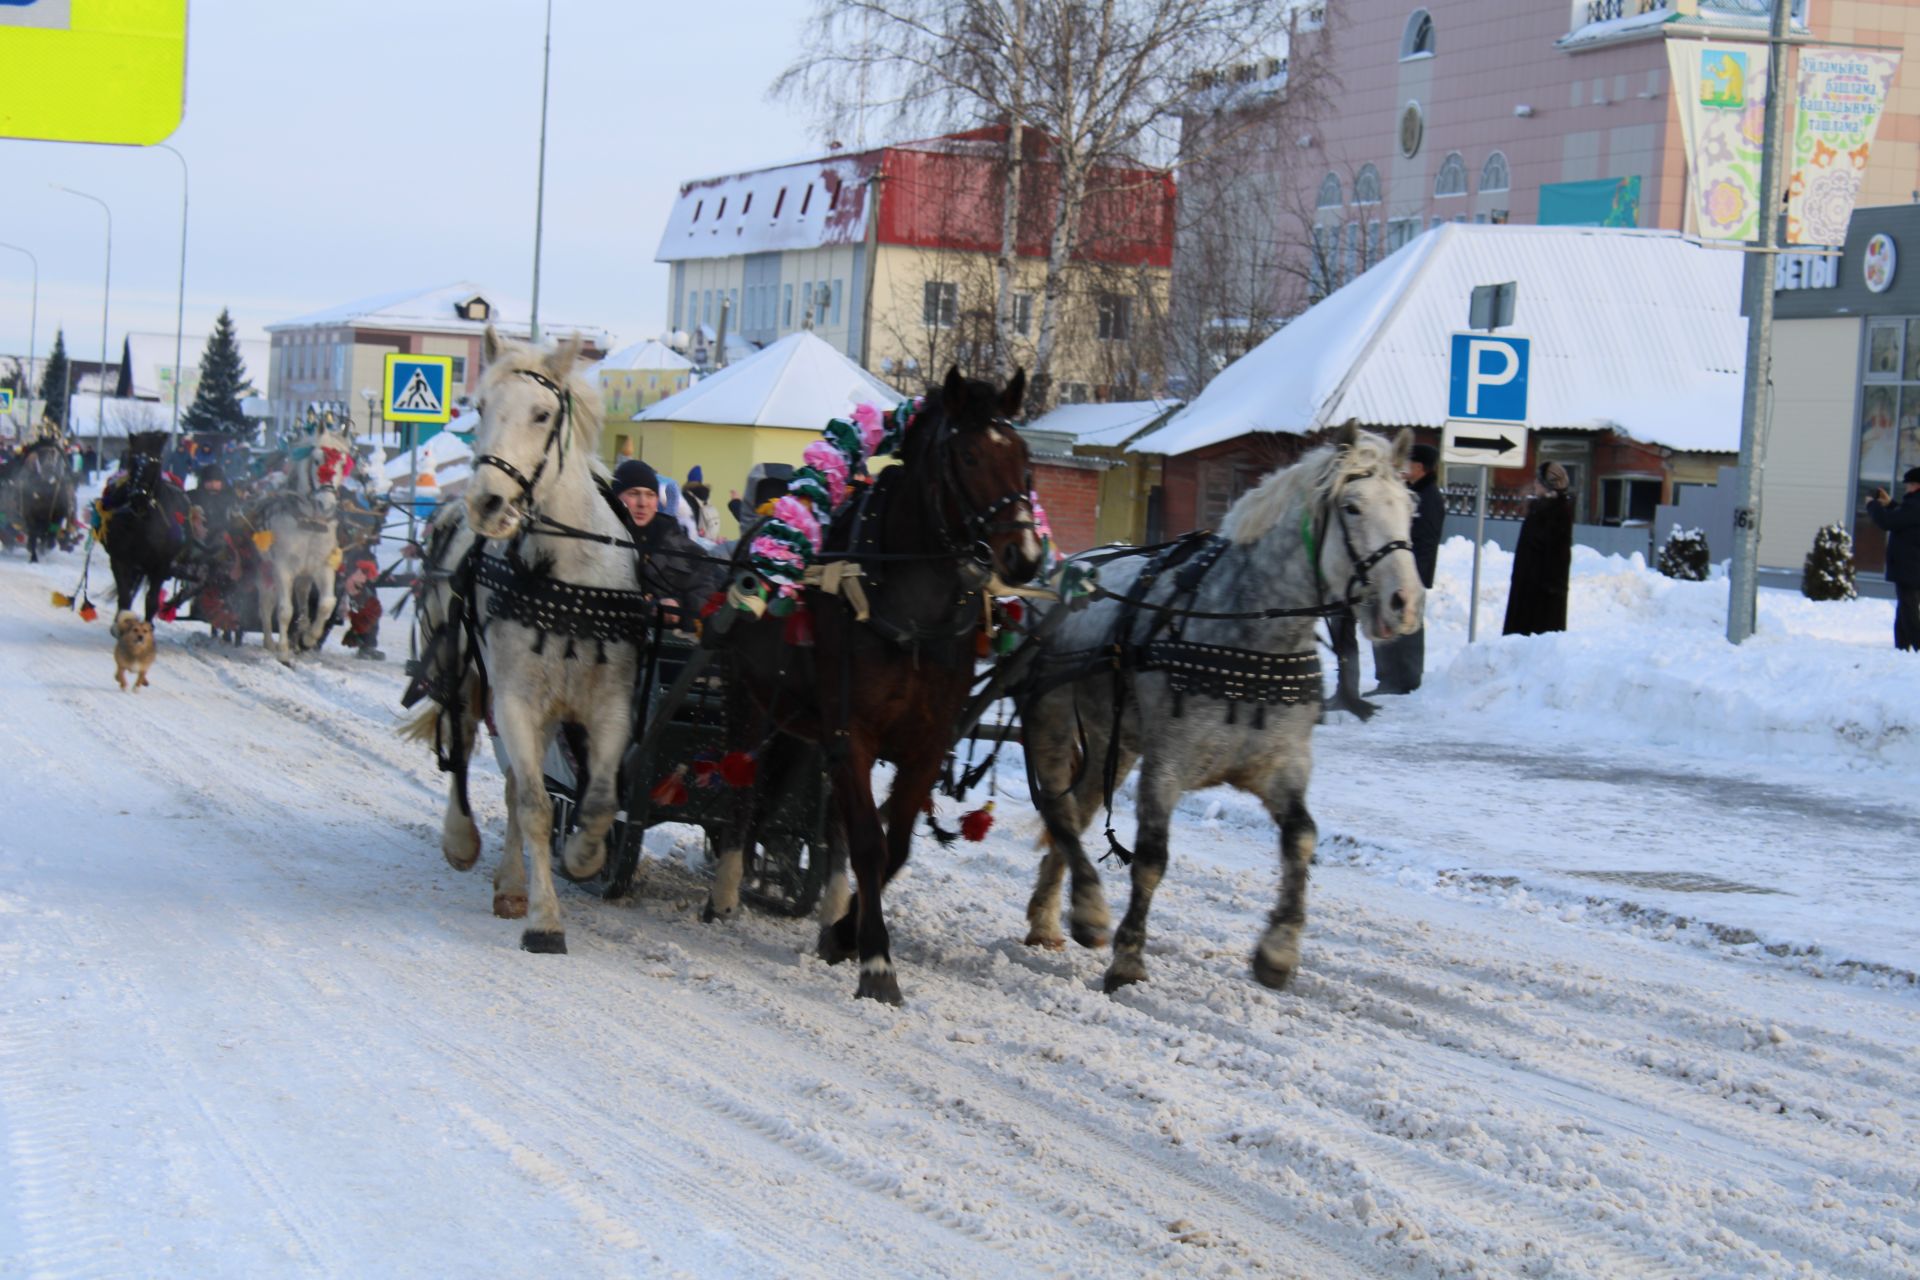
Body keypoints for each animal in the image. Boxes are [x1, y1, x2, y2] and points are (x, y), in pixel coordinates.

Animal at [405, 330, 645, 951]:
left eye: (542, 414)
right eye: (481, 408)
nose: (486, 503)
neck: (565, 575)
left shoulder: (612, 707)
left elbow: (600, 800)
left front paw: (584, 855)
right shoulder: (515, 699)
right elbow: (535, 806)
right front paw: (545, 919)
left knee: (515, 778)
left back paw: (513, 882)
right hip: (466, 674)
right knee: (466, 746)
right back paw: (466, 844)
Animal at [1021, 426, 1428, 997]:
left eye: (1410, 508)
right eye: (1352, 507)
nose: (1404, 603)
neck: (1248, 636)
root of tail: (1068, 569)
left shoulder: (1283, 768)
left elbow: (1301, 839)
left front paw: (1278, 951)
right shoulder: (1166, 768)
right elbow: (1151, 860)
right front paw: (1129, 959)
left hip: (1114, 742)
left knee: (1076, 814)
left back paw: (1053, 914)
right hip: (1051, 721)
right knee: (1060, 813)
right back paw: (1087, 909)